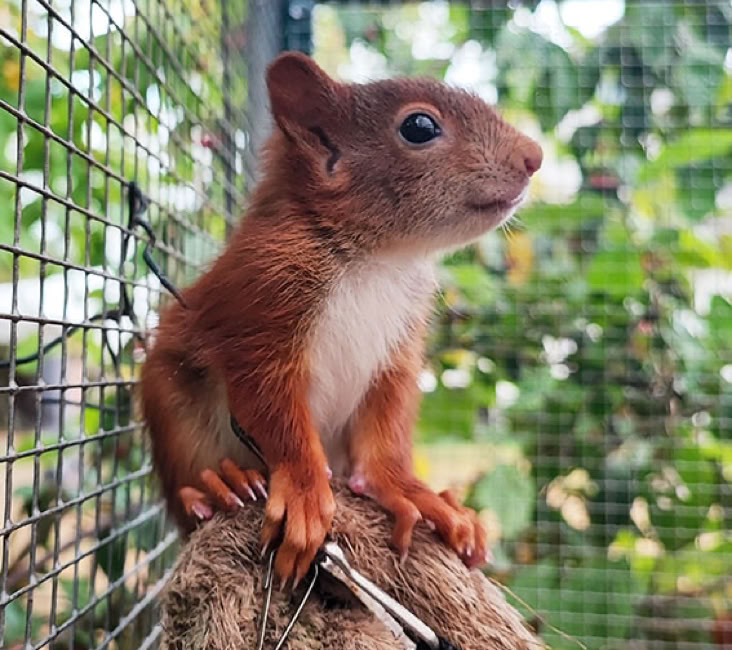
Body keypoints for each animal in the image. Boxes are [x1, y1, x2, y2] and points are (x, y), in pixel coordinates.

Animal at [140, 52, 542, 588]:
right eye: (419, 127)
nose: (535, 156)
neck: (379, 257)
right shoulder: (259, 313)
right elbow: (279, 418)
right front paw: (305, 492)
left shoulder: (397, 351)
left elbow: (386, 430)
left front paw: (408, 490)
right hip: (173, 406)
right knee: (187, 492)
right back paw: (217, 485)